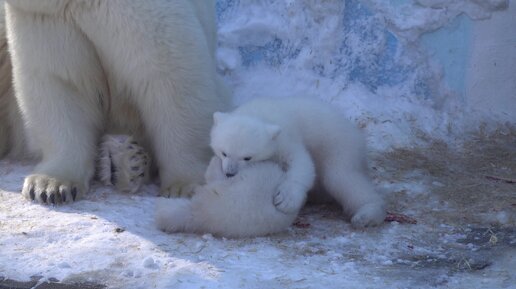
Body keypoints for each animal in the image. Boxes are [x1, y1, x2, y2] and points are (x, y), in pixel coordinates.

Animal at [0, 0, 230, 202]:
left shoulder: (137, 14)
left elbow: (170, 80)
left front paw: (185, 186)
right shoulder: (45, 20)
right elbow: (60, 86)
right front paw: (50, 186)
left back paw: (126, 161)